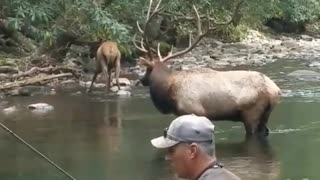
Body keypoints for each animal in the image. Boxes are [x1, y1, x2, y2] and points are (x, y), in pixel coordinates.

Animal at [134, 0, 282, 136]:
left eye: (148, 70)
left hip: (252, 112)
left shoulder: (193, 110)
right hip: (265, 115)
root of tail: (275, 90)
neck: (169, 91)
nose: (141, 80)